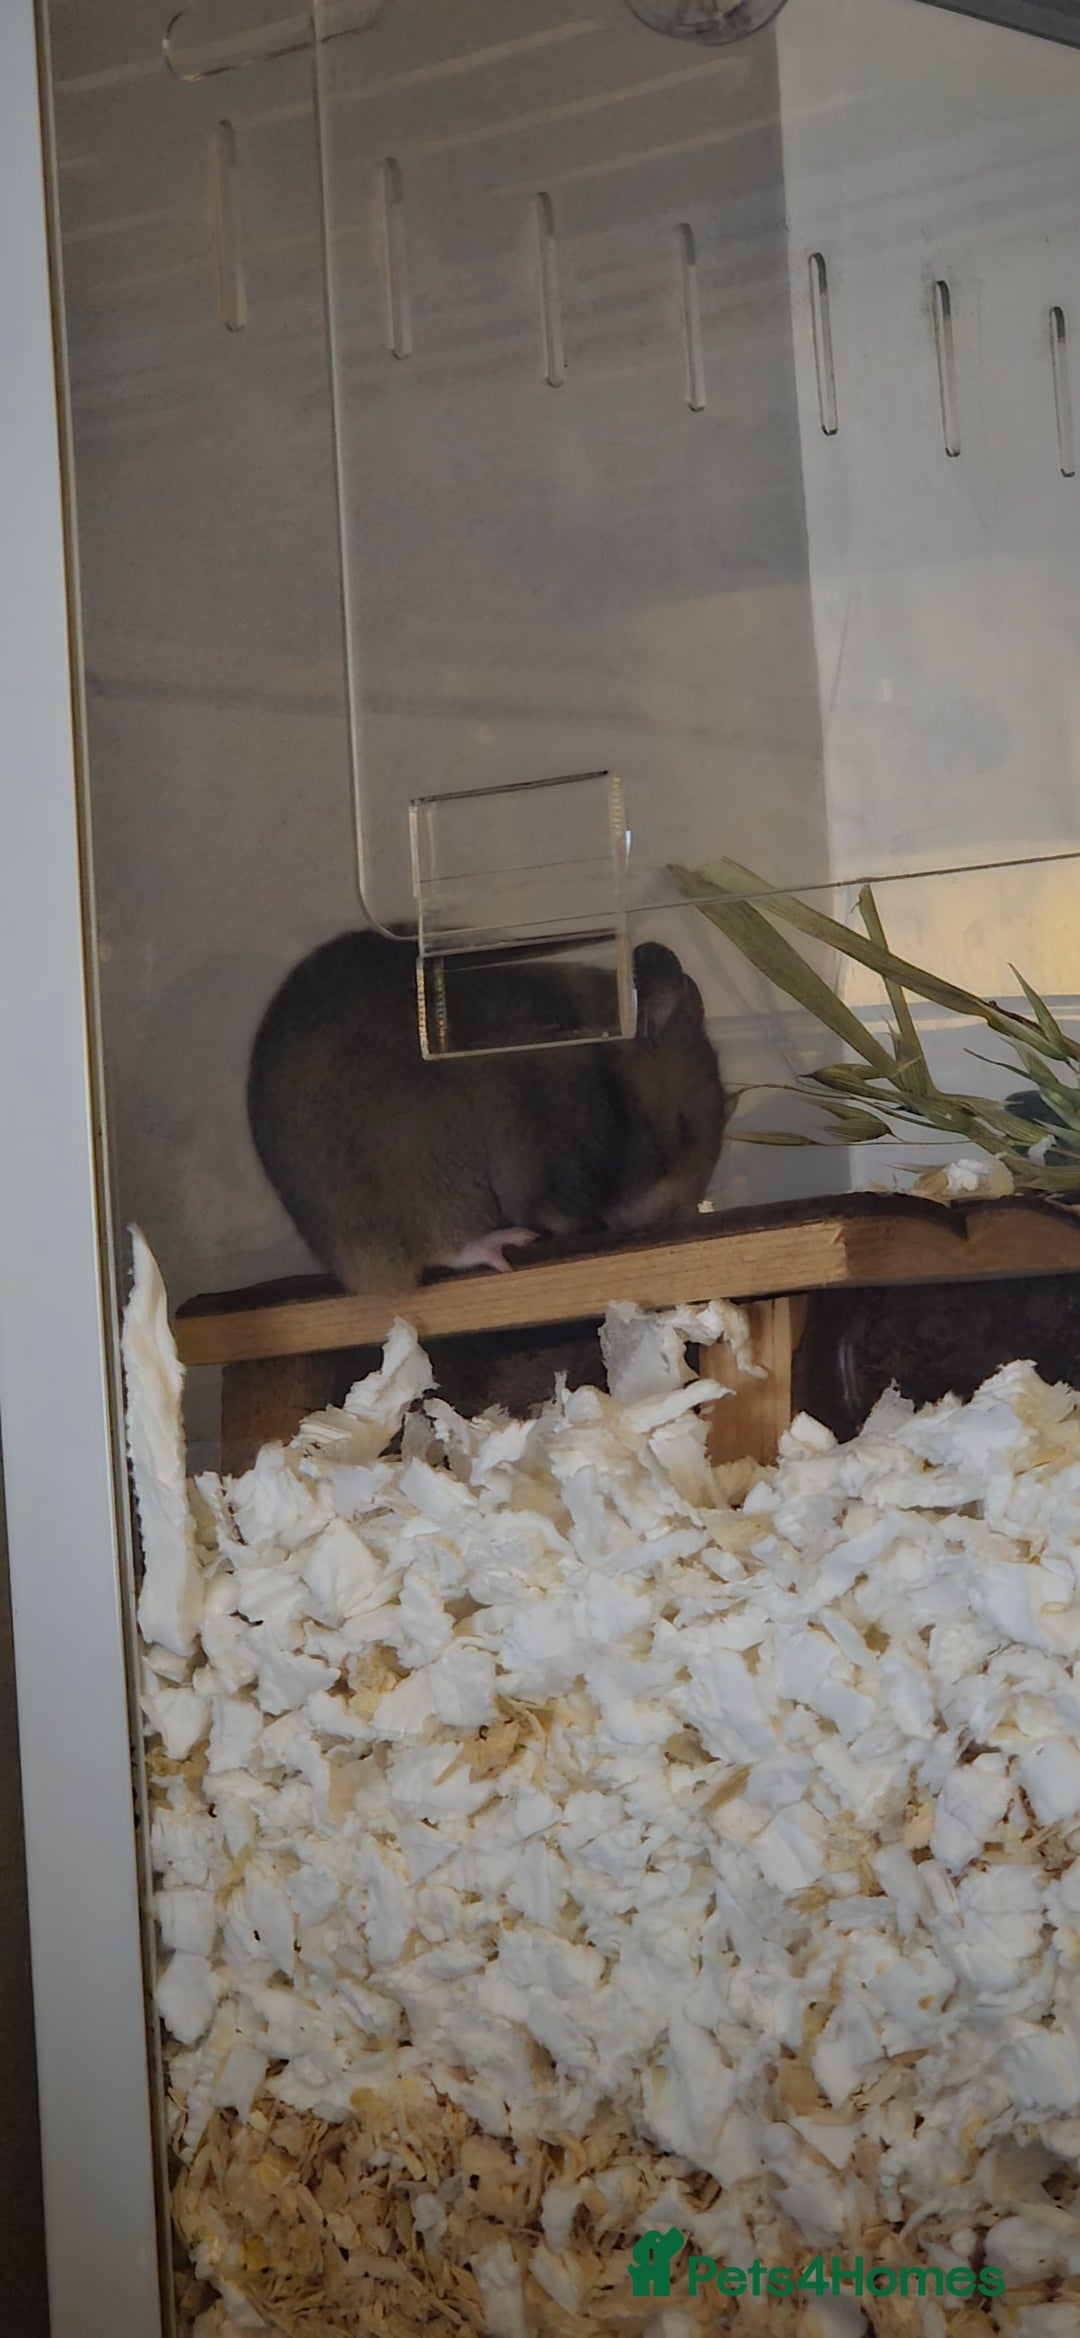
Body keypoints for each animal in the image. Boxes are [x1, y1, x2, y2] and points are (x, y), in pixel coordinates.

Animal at [247, 930, 725, 1294]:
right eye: (685, 1130)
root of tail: (352, 1270)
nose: (685, 1214)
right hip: (427, 1174)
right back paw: (504, 1243)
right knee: (445, 1244)